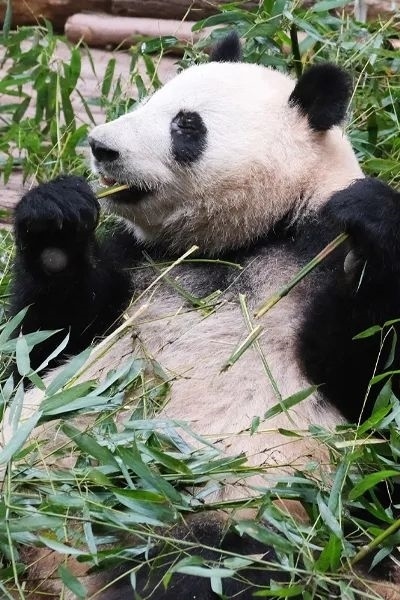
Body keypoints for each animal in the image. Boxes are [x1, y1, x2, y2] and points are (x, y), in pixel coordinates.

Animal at [5, 31, 400, 599]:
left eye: (186, 125)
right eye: (149, 101)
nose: (101, 146)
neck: (245, 238)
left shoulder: (312, 250)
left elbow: (369, 385)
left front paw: (368, 231)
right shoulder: (136, 261)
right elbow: (44, 343)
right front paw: (56, 219)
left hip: (254, 505)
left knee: (205, 563)